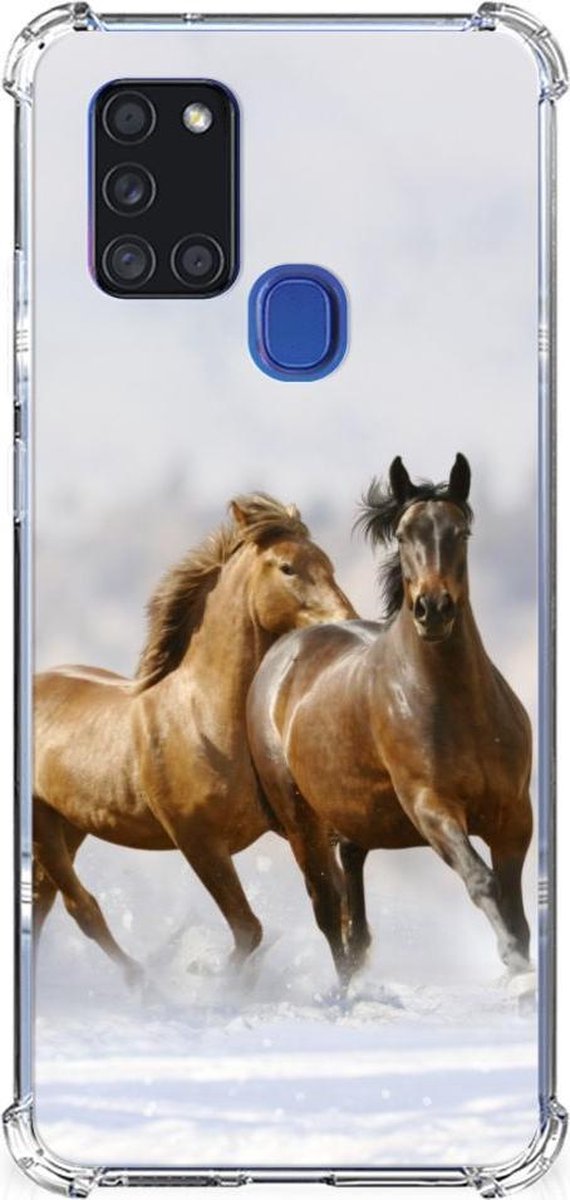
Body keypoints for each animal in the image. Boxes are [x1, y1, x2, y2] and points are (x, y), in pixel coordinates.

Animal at [33, 493, 356, 982]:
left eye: (328, 563)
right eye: (287, 568)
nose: (347, 622)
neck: (204, 719)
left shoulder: (294, 826)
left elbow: (333, 908)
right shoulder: (198, 841)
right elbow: (248, 930)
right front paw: (214, 981)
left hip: (69, 823)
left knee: (43, 901)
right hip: (42, 823)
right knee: (80, 907)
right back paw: (144, 983)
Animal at [247, 456, 533, 984]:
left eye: (461, 532)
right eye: (402, 535)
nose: (433, 609)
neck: (458, 706)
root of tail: (282, 654)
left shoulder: (513, 816)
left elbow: (514, 904)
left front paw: (521, 964)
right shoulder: (431, 806)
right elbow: (481, 880)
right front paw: (511, 961)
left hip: (354, 821)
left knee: (354, 915)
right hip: (302, 824)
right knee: (328, 911)